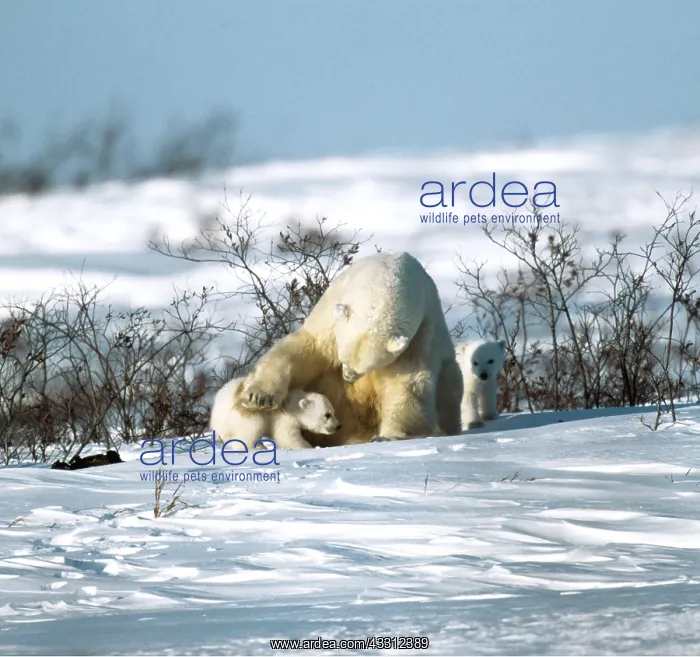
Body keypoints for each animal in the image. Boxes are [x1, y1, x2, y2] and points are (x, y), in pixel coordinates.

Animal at [209, 377, 341, 450]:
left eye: (334, 412)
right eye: (327, 415)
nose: (338, 426)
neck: (291, 403)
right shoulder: (284, 417)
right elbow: (287, 436)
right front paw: (308, 447)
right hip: (248, 413)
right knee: (251, 429)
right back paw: (257, 447)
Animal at [237, 251, 463, 446]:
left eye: (364, 368)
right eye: (343, 357)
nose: (347, 377)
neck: (387, 275)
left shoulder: (421, 328)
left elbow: (407, 380)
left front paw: (389, 436)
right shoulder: (332, 314)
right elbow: (307, 349)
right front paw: (259, 396)